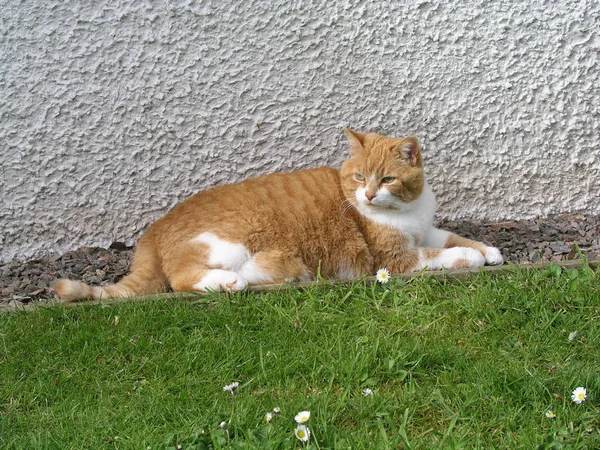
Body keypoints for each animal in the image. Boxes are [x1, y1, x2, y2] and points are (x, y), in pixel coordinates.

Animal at [56, 128, 504, 300]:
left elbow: (452, 236)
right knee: (183, 279)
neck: (407, 210)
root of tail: (155, 228)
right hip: (230, 242)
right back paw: (227, 283)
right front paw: (475, 257)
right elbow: (446, 254)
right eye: (360, 176)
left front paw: (491, 250)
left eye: (388, 178)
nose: (368, 194)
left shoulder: (424, 232)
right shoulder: (395, 259)